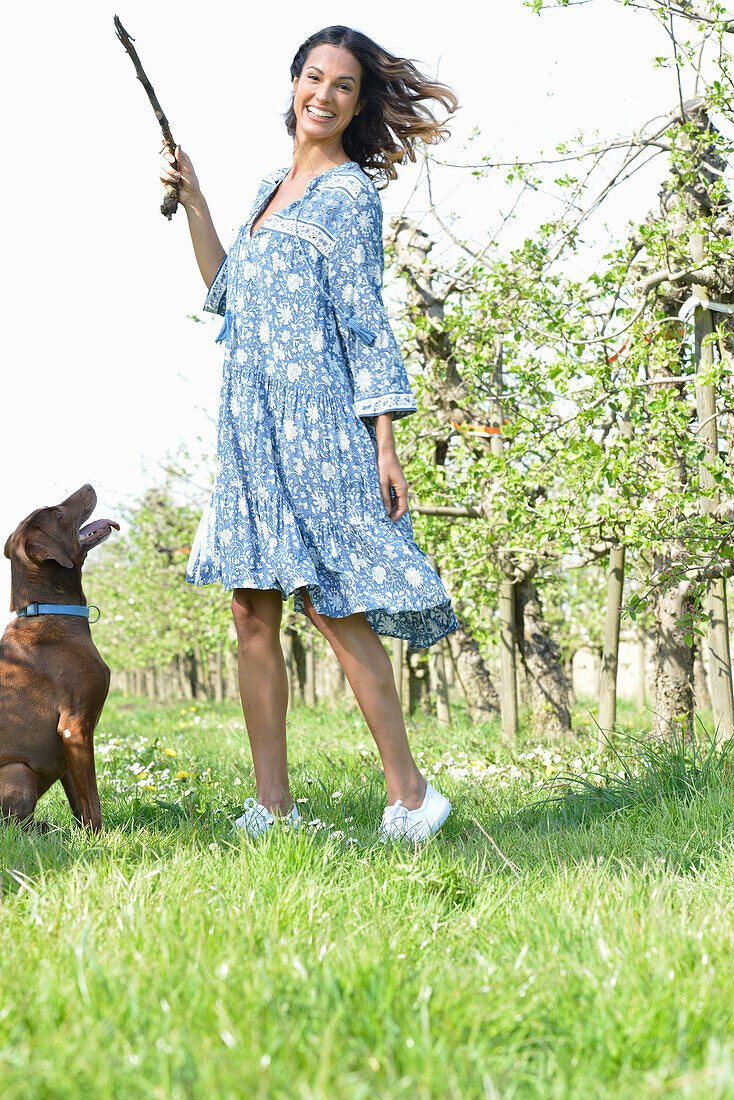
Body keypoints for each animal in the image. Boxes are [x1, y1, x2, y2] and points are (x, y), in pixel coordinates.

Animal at [1, 486, 119, 827]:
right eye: (57, 512)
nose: (89, 485)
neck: (50, 609)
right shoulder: (75, 726)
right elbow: (92, 800)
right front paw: (101, 837)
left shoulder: (67, 746)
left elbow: (80, 803)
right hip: (17, 772)